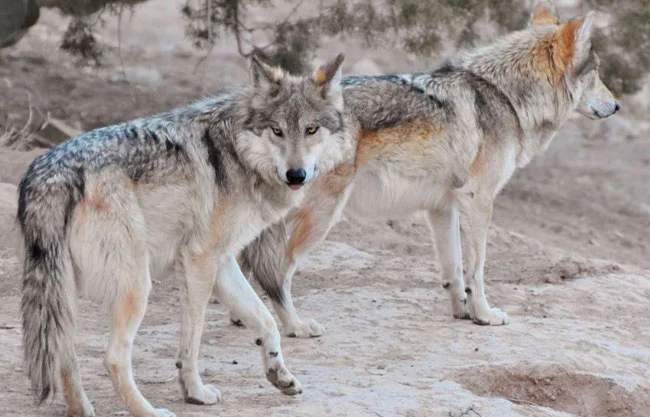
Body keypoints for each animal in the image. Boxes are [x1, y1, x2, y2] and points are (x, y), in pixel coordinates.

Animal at [18, 54, 355, 417]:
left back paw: (82, 409)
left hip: (65, 294)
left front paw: (279, 374)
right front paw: (195, 392)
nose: (296, 175)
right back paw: (149, 411)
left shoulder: (223, 262)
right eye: (277, 131)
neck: (237, 153)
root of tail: (53, 171)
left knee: (65, 355)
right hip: (136, 286)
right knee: (113, 358)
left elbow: (266, 321)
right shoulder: (199, 260)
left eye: (311, 129)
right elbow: (193, 340)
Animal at [234, 1, 620, 338]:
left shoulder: (442, 206)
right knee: (276, 271)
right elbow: (477, 268)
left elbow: (454, 269)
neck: (505, 95)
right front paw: (484, 314)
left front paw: (463, 311)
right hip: (319, 216)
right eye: (597, 73)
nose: (616, 106)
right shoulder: (478, 200)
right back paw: (295, 326)